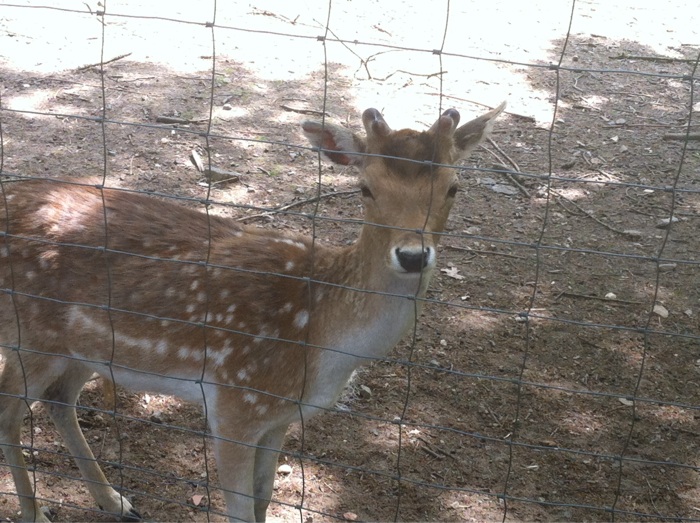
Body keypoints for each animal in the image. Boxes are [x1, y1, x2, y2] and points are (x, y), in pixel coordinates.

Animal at [0, 100, 504, 520]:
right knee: (8, 409)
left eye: (454, 187)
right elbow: (241, 509)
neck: (323, 346)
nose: (413, 255)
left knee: (58, 399)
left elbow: (264, 498)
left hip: (80, 349)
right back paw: (36, 513)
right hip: (30, 335)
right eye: (365, 188)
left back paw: (116, 500)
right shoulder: (235, 404)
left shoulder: (279, 418)